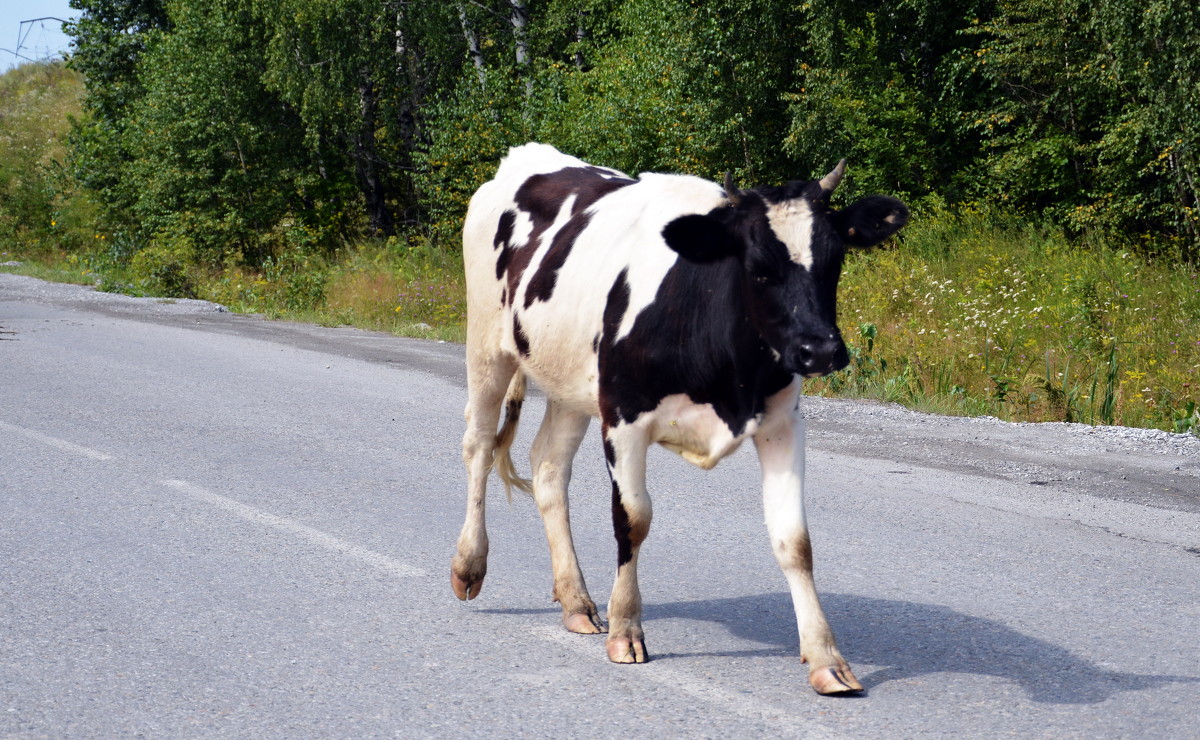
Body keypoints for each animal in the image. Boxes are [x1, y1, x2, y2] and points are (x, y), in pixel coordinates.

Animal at [451, 142, 907, 690]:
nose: (819, 350)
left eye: (835, 259)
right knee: (479, 445)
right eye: (757, 265)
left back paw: (577, 600)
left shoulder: (782, 425)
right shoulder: (624, 417)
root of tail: (525, 156)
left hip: (571, 381)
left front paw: (826, 658)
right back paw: (469, 565)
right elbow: (633, 519)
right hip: (487, 343)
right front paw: (626, 628)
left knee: (548, 468)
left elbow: (794, 541)